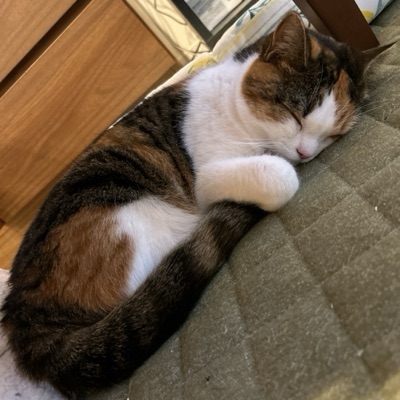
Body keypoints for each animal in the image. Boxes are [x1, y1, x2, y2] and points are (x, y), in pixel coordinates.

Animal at [1, 12, 391, 398]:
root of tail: (23, 312)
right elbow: (281, 176)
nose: (305, 152)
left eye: (333, 135)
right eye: (295, 115)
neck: (235, 103)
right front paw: (281, 168)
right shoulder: (208, 177)